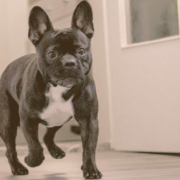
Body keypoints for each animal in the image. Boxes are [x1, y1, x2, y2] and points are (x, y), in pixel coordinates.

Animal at [0, 1, 102, 179]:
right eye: (52, 54)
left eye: (81, 51)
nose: (69, 63)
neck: (58, 88)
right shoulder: (27, 120)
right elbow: (34, 145)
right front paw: (32, 160)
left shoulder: (89, 120)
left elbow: (89, 147)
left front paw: (90, 168)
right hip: (8, 122)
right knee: (10, 148)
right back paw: (18, 167)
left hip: (59, 119)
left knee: (48, 135)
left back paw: (56, 151)